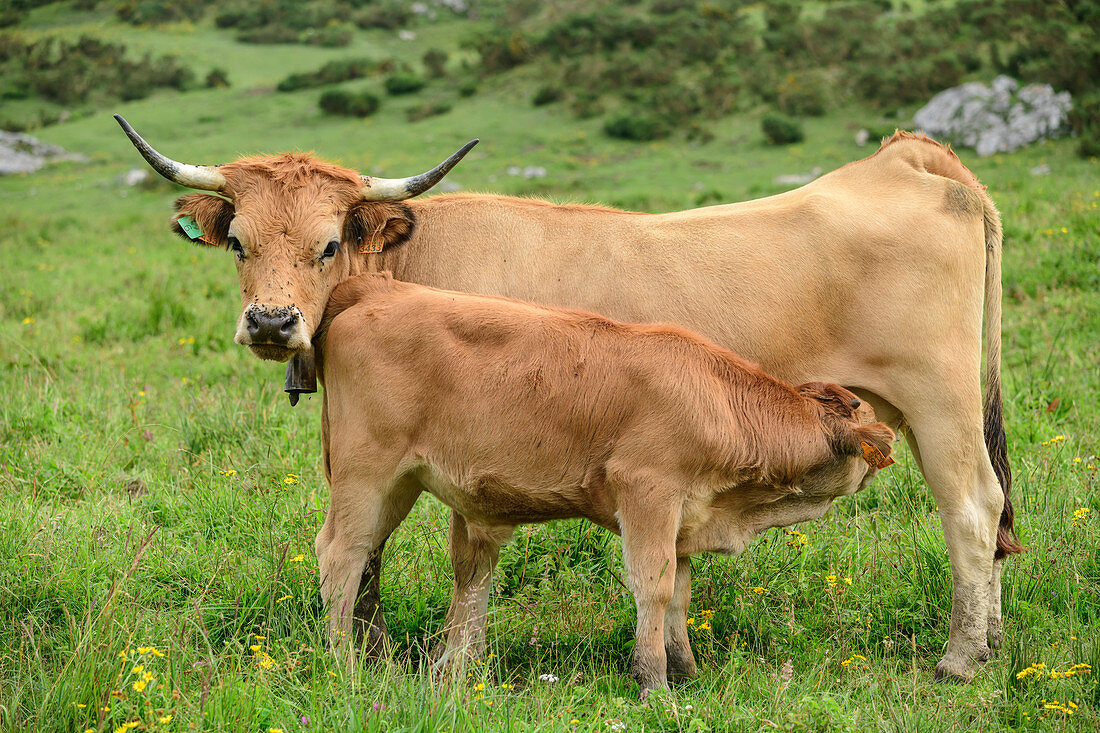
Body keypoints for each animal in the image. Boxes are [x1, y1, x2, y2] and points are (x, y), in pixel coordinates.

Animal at [312, 270, 893, 695]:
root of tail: (378, 288)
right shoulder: (647, 492)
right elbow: (654, 587)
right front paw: (654, 684)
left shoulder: (685, 517)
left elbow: (680, 595)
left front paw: (686, 672)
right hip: (366, 470)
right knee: (342, 553)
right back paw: (345, 667)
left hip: (401, 483)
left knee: (364, 552)